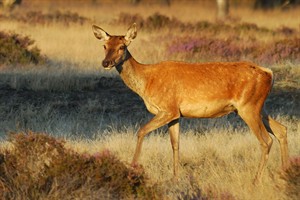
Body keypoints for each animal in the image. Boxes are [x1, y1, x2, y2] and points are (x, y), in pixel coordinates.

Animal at [91, 23, 288, 184]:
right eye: (104, 46)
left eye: (122, 46)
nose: (106, 62)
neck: (147, 82)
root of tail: (269, 73)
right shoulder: (176, 114)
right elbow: (175, 144)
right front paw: (175, 178)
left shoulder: (168, 108)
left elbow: (141, 131)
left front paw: (132, 171)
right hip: (257, 107)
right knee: (281, 130)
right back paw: (285, 173)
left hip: (248, 107)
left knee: (266, 140)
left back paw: (256, 180)